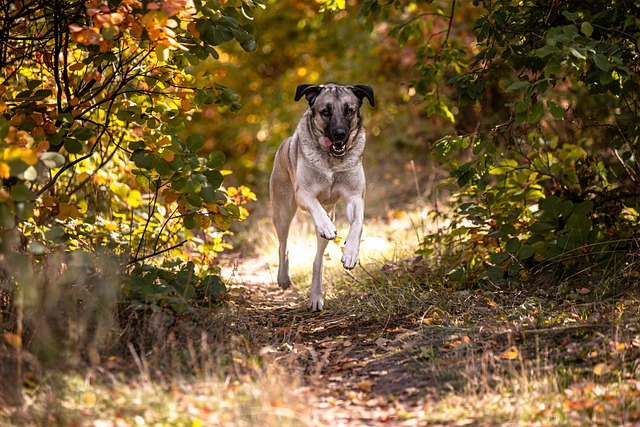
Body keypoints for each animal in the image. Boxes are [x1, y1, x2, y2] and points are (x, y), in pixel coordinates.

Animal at [270, 83, 376, 310]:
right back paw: (284, 278)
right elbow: (315, 206)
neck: (332, 160)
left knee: (317, 260)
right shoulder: (303, 194)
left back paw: (316, 295)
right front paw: (326, 226)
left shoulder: (355, 196)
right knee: (283, 245)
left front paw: (350, 253)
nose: (340, 134)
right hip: (282, 211)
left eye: (349, 110)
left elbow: (357, 224)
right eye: (325, 112)